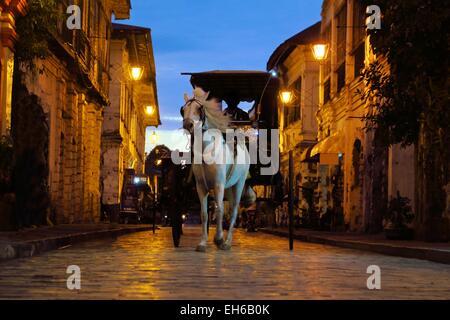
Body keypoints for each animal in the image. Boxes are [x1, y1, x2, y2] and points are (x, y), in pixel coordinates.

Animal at [182, 87, 251, 250]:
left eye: (199, 108)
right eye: (183, 110)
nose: (188, 125)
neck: (206, 151)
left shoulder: (218, 184)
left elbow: (219, 210)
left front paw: (219, 238)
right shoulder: (201, 186)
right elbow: (204, 214)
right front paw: (203, 242)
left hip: (239, 184)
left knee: (234, 211)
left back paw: (227, 242)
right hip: (228, 186)